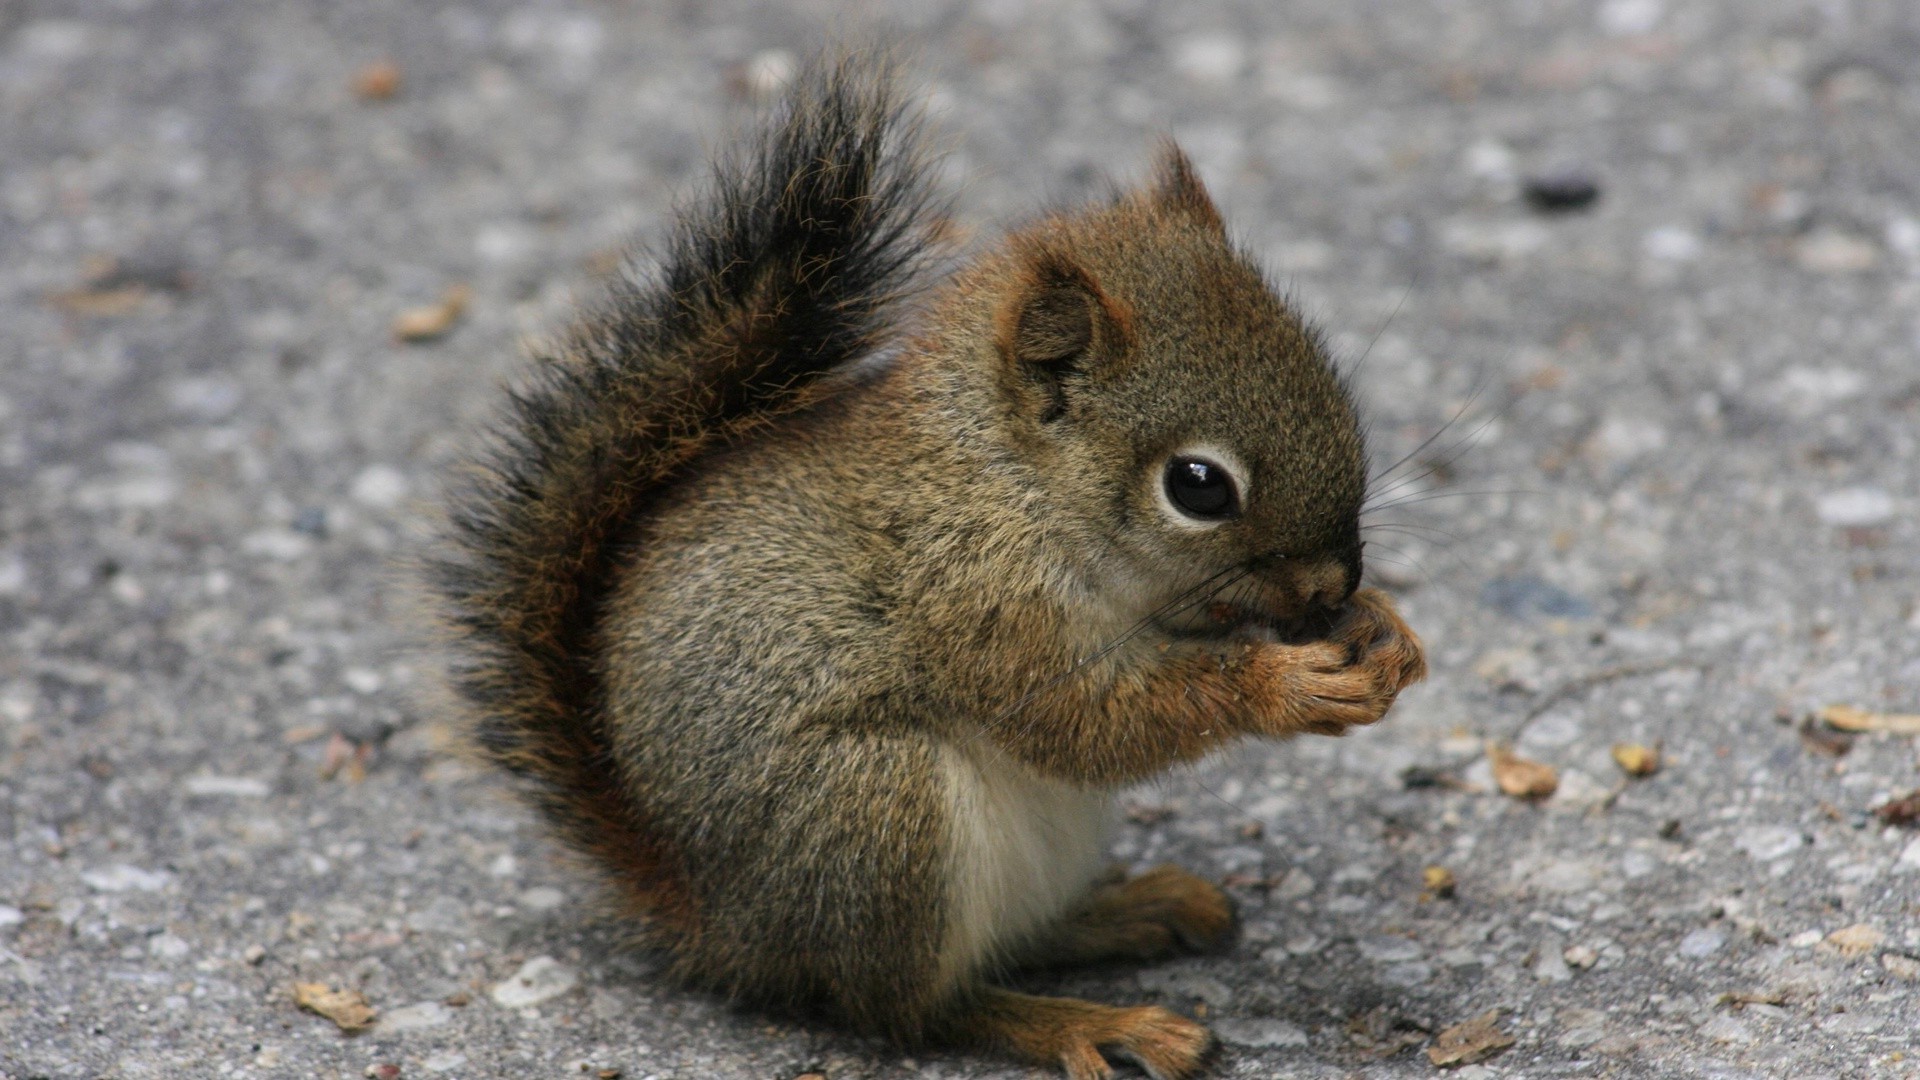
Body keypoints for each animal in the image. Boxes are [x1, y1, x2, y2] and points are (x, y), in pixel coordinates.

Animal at [435, 52, 1428, 1076]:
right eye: (1198, 486)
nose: (1333, 585)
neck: (1011, 482)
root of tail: (723, 926)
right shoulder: (977, 600)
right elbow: (1086, 723)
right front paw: (1287, 686)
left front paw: (1385, 633)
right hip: (877, 815)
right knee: (913, 1009)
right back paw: (1084, 1023)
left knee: (1014, 942)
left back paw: (1132, 910)